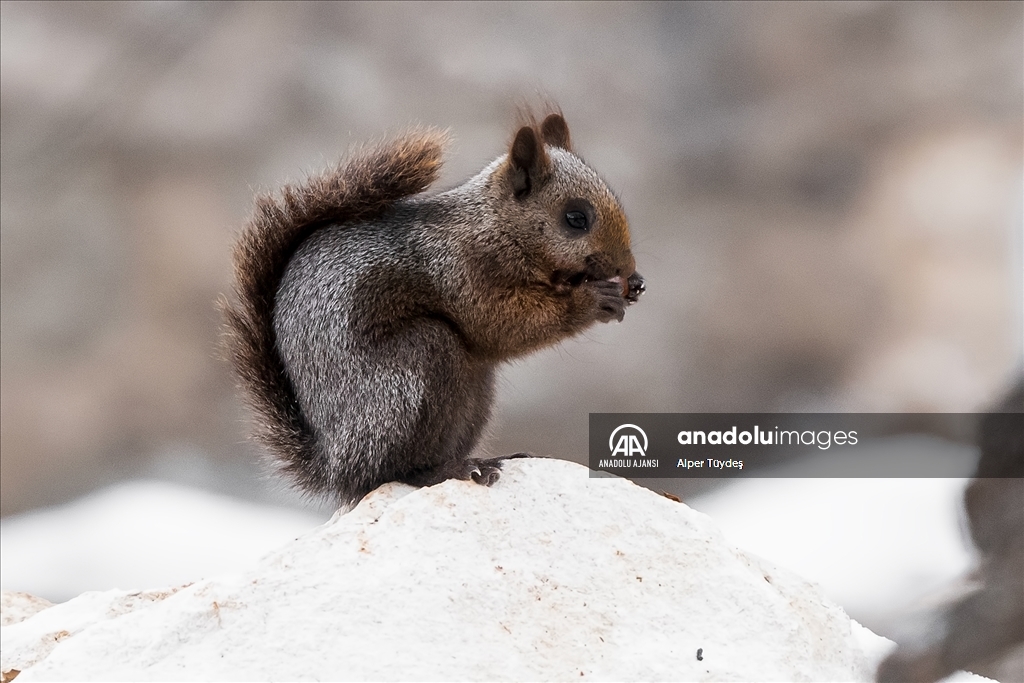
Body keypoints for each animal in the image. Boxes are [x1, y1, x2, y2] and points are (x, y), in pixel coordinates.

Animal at [222, 113, 638, 507]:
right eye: (576, 218)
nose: (628, 269)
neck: (492, 226)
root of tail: (335, 465)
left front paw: (632, 287)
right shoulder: (460, 272)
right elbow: (499, 325)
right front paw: (592, 299)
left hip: (474, 387)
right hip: (413, 374)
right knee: (395, 470)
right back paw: (455, 469)